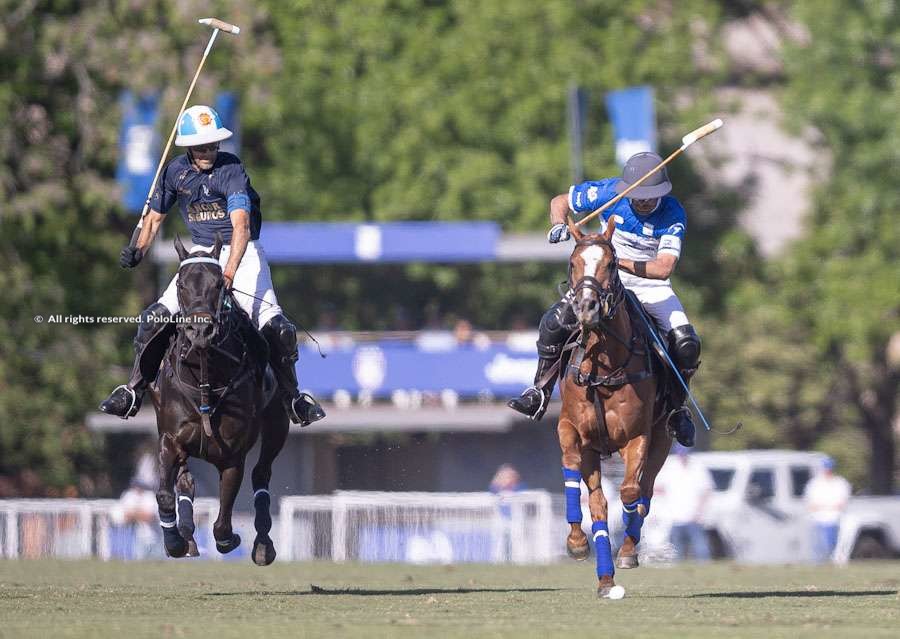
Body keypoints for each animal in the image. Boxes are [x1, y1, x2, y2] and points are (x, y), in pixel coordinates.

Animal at [152, 235, 288, 564]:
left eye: (218, 285)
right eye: (180, 284)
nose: (200, 330)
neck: (205, 376)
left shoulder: (232, 456)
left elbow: (222, 522)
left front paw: (231, 539)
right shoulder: (169, 439)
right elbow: (165, 493)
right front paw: (174, 542)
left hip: (278, 425)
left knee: (261, 473)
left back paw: (263, 543)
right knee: (185, 480)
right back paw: (187, 534)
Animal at [560, 220, 672, 600]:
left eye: (611, 264)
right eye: (573, 263)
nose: (586, 308)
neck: (604, 368)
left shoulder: (638, 436)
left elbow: (630, 492)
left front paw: (628, 549)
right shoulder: (573, 429)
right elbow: (574, 470)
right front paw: (577, 544)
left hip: (664, 439)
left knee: (644, 491)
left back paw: (627, 550)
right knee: (598, 504)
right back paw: (604, 576)